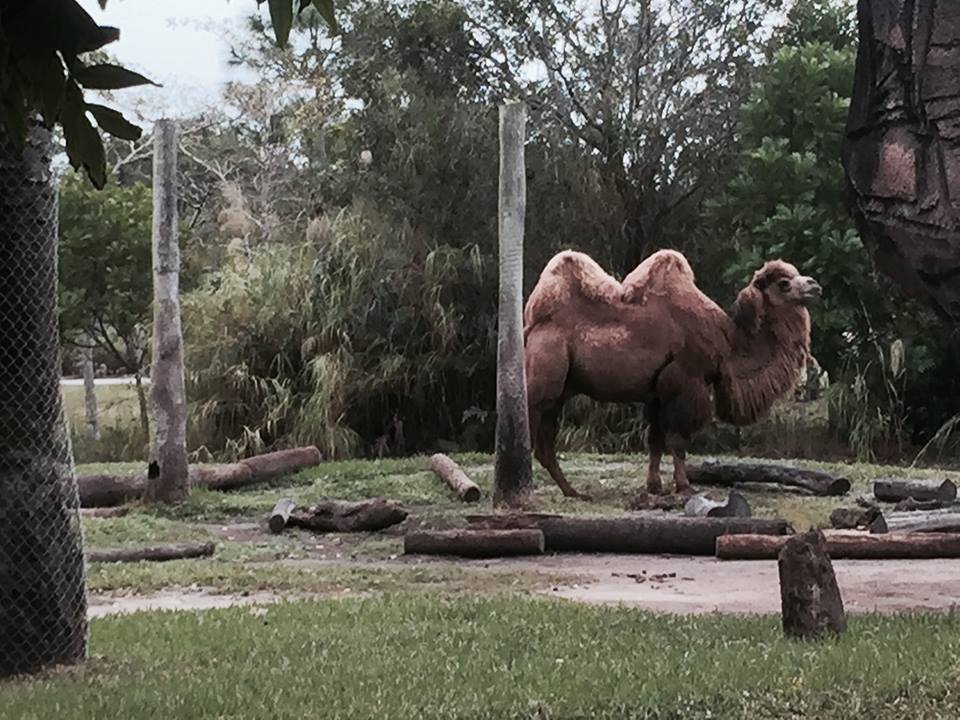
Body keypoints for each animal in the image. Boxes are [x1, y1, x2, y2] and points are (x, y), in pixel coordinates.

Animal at [523, 249, 821, 499]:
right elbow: (678, 440)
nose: (814, 286)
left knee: (546, 443)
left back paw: (573, 492)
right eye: (784, 283)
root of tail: (530, 325)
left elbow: (655, 441)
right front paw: (684, 486)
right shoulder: (686, 381)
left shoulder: (656, 392)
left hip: (561, 391)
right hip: (545, 375)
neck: (728, 346)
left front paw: (654, 487)